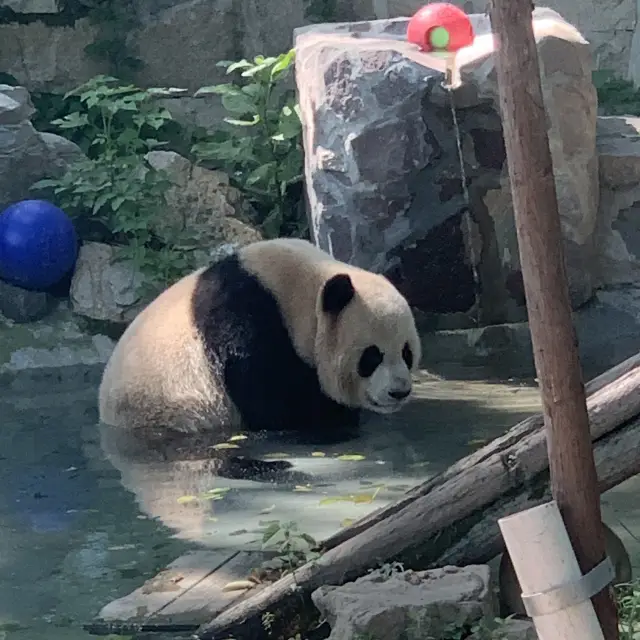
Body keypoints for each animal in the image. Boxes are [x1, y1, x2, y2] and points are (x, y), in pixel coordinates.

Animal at [99, 240, 420, 480]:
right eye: (371, 356)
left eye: (407, 352)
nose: (399, 392)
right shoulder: (248, 325)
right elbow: (275, 404)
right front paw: (337, 419)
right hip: (171, 417)